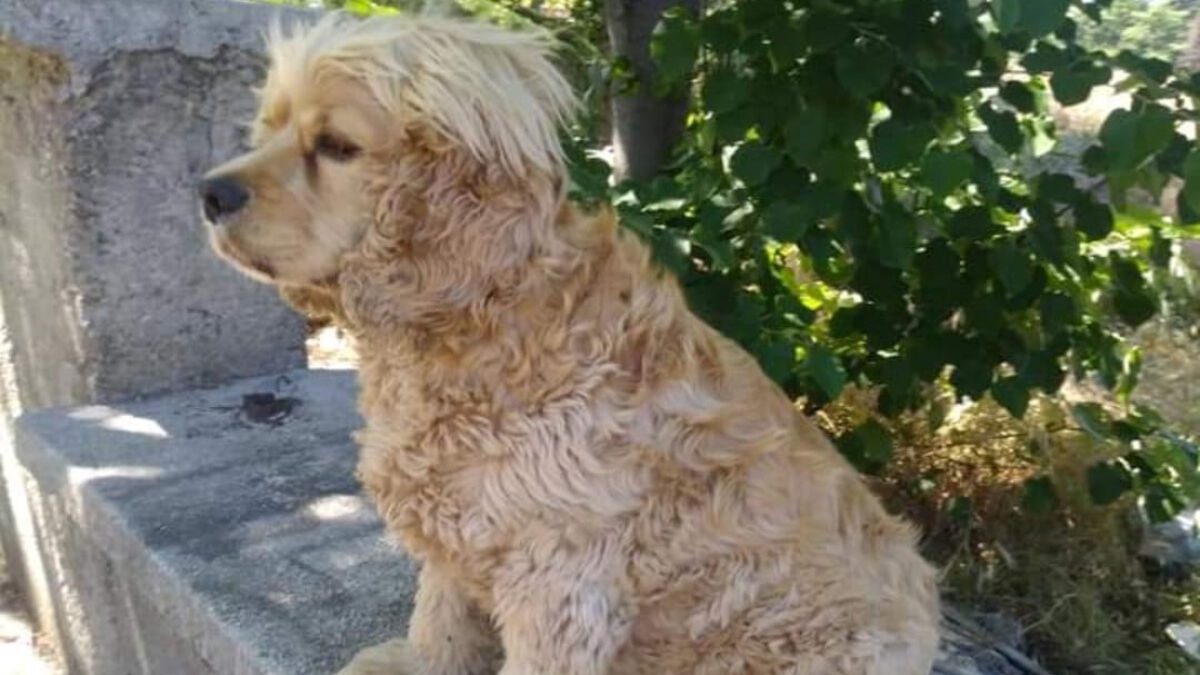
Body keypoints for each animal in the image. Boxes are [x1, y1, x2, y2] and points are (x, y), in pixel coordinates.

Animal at [200, 13, 940, 674]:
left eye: (336, 145)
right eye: (270, 127)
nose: (210, 192)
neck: (483, 320)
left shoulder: (560, 576)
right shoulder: (457, 522)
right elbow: (442, 611)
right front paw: (415, 660)